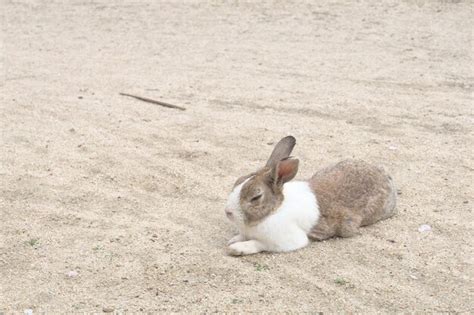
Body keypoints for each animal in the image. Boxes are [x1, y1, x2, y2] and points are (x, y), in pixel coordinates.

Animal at [224, 136, 394, 256]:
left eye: (256, 197)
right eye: (238, 181)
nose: (228, 212)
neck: (274, 211)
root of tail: (386, 177)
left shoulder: (287, 240)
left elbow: (259, 244)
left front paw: (237, 248)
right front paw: (233, 240)